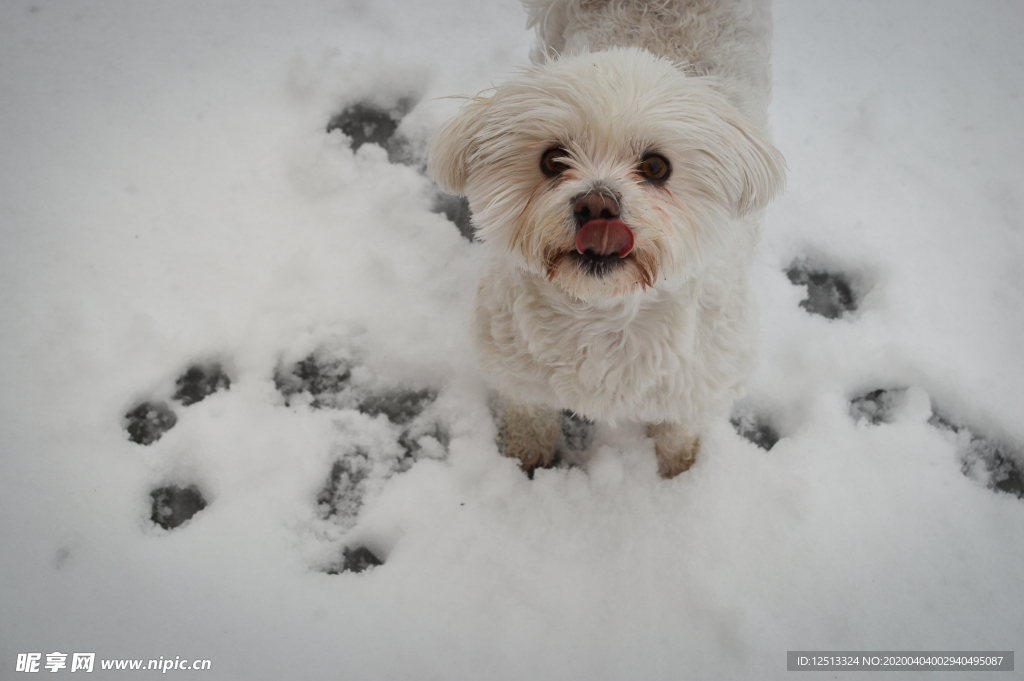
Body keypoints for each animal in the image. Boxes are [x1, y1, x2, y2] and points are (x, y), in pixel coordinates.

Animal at [428, 0, 786, 477]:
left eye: (656, 167)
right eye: (553, 159)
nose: (597, 206)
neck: (603, 314)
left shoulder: (701, 381)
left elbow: (678, 434)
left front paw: (679, 476)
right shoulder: (517, 369)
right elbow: (529, 417)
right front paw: (525, 459)